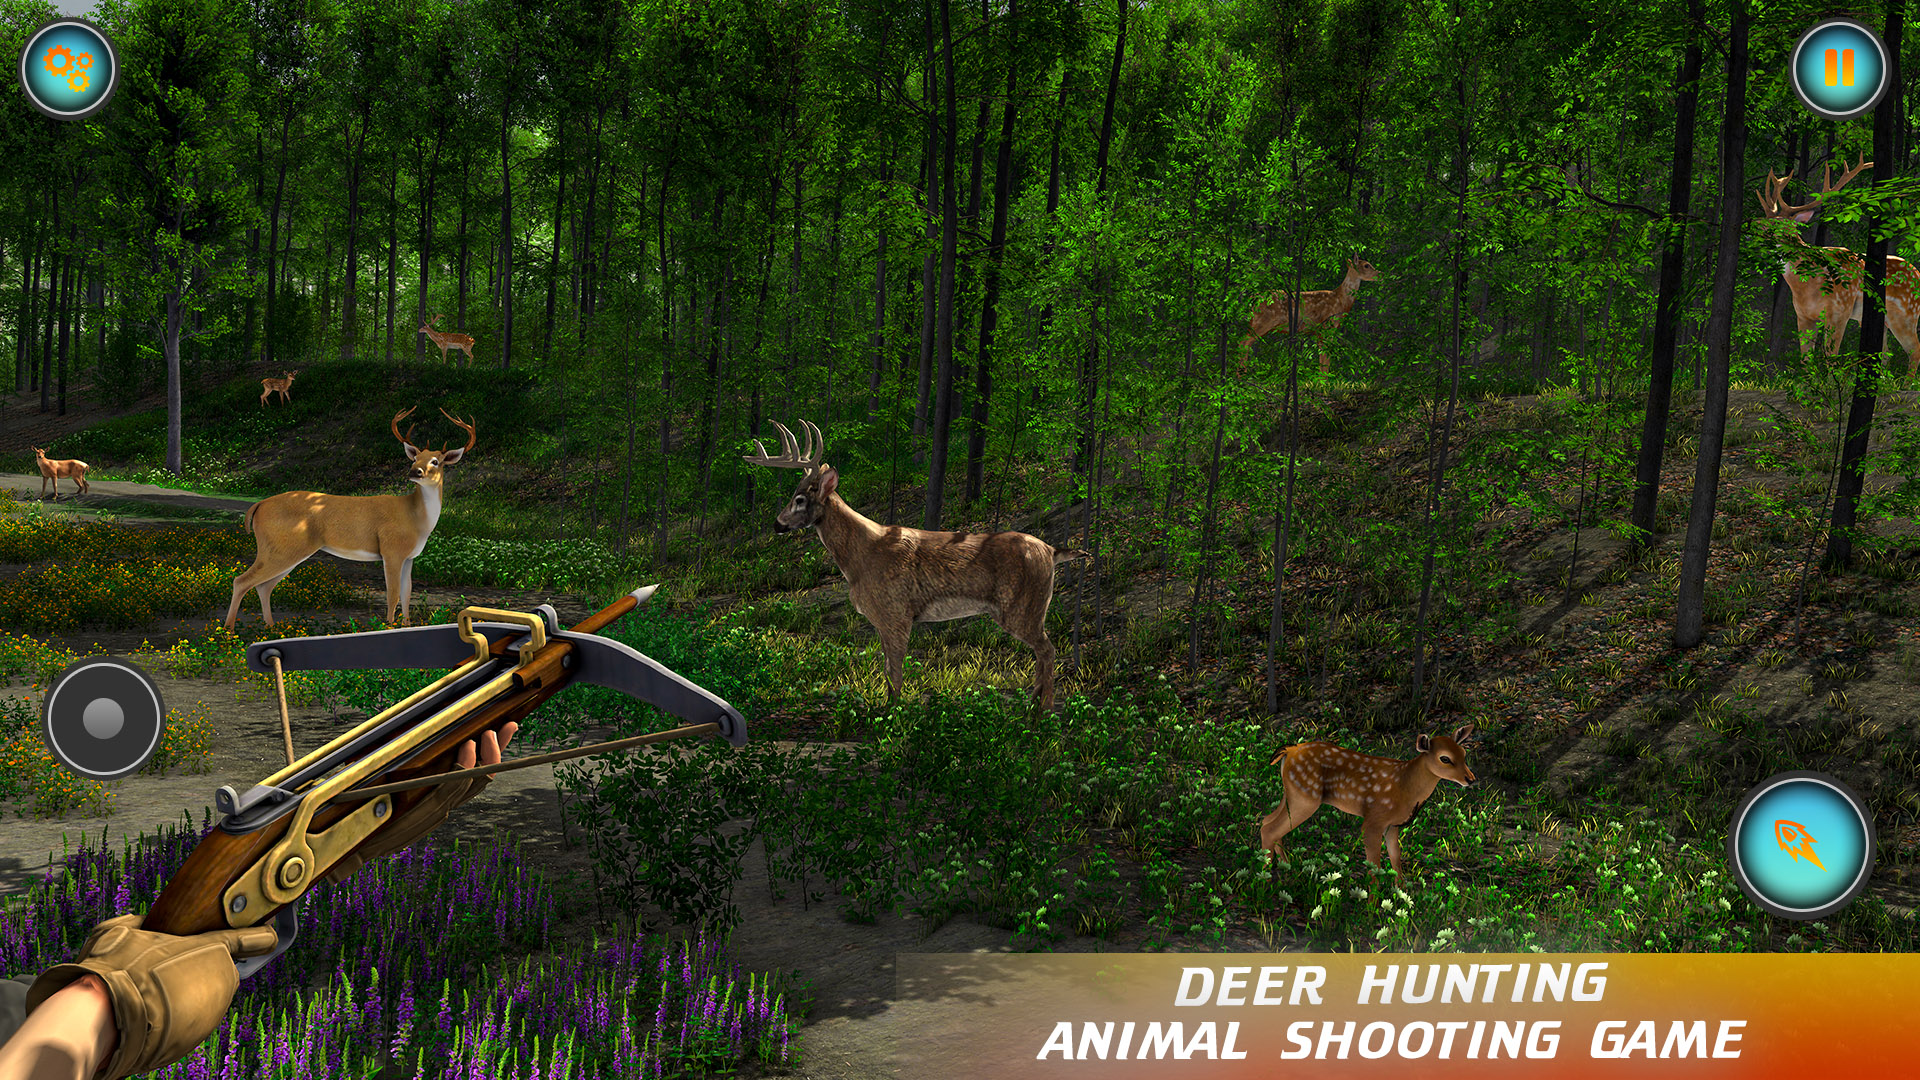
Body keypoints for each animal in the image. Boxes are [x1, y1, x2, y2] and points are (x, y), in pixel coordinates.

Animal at [225, 407, 474, 630]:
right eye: (415, 458)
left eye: (436, 461)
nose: (415, 472)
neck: (415, 517)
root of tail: (258, 505)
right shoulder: (391, 550)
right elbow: (393, 595)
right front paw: (388, 628)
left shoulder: (410, 556)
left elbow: (407, 594)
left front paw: (405, 627)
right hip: (280, 547)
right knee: (242, 581)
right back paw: (229, 632)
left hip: (286, 550)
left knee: (263, 586)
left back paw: (271, 629)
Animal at [743, 419, 1085, 711]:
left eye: (800, 499)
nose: (777, 524)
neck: (860, 557)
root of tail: (1052, 550)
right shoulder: (884, 619)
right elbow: (887, 667)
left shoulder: (895, 611)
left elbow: (894, 671)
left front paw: (892, 716)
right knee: (1044, 653)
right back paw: (1032, 707)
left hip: (1023, 607)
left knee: (1048, 650)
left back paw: (1041, 714)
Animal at [1239, 257, 1381, 375]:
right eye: (1366, 265)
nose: (1381, 273)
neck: (1340, 301)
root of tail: (1253, 298)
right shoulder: (1326, 327)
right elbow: (1325, 358)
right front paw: (1323, 383)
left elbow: (1323, 357)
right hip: (1262, 321)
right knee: (1243, 342)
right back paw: (1242, 376)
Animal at [1258, 724, 1479, 876]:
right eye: (1445, 758)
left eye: (1464, 753)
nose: (1471, 779)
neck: (1405, 787)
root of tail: (1289, 751)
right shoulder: (1374, 819)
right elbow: (1374, 865)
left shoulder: (1393, 825)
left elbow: (1396, 858)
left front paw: (1402, 896)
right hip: (1306, 798)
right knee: (1271, 829)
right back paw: (1265, 880)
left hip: (1292, 794)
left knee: (1266, 821)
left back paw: (1287, 867)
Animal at [1756, 154, 1920, 374]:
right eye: (1765, 221)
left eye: (1778, 225)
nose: (1754, 230)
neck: (1808, 287)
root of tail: (1917, 273)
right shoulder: (1803, 316)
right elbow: (1806, 361)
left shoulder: (1840, 310)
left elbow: (1831, 358)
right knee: (1886, 354)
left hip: (1906, 314)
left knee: (1914, 350)